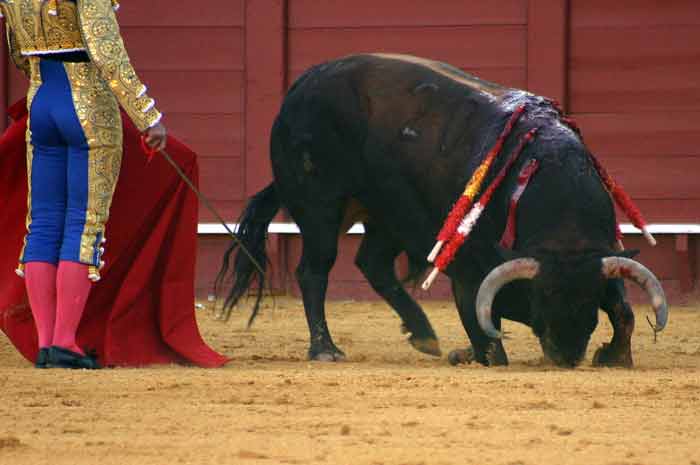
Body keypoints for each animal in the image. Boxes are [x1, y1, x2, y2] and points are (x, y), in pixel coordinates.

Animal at [215, 53, 668, 366]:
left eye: (587, 299)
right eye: (544, 294)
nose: (567, 354)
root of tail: (300, 87)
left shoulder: (600, 259)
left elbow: (623, 311)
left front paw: (615, 356)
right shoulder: (470, 272)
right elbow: (486, 334)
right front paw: (474, 354)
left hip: (389, 215)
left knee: (372, 263)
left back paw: (424, 335)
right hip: (321, 207)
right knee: (314, 270)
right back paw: (326, 348)